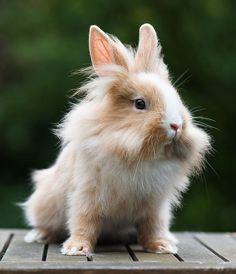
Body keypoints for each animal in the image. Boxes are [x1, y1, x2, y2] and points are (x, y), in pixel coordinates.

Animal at [21, 23, 210, 255]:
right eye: (140, 104)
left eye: (177, 98)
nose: (176, 126)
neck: (139, 155)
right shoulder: (86, 194)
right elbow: (84, 221)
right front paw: (77, 248)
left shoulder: (155, 205)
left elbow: (153, 226)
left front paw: (162, 246)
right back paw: (40, 235)